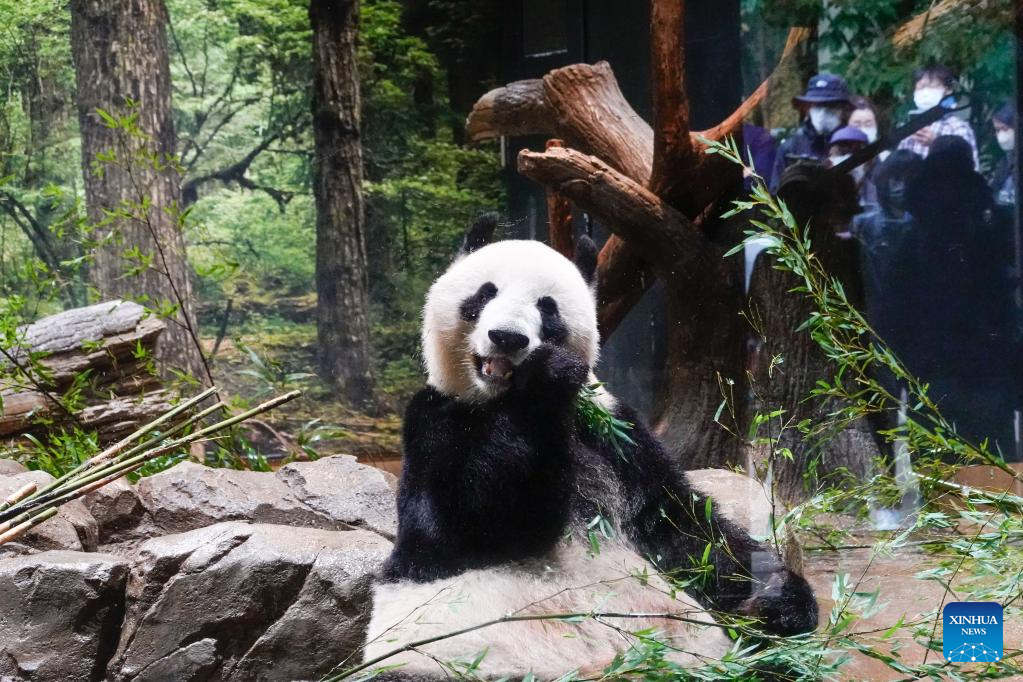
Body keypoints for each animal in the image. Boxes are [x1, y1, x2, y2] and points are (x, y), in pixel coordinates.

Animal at [362, 215, 818, 680]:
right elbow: (465, 523)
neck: (496, 400)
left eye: (547, 307)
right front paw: (544, 379)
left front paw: (781, 602)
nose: (507, 337)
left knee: (773, 665)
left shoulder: (617, 435)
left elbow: (685, 529)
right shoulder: (434, 419)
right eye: (485, 292)